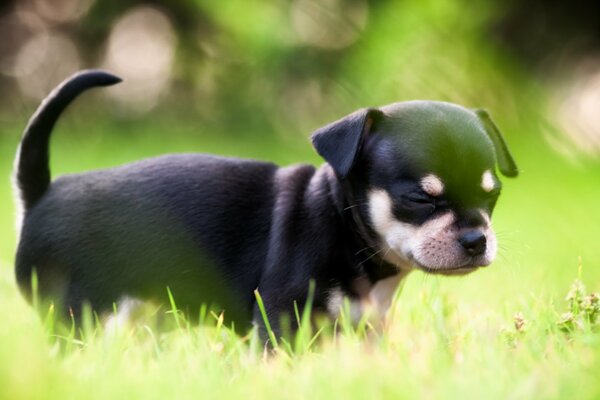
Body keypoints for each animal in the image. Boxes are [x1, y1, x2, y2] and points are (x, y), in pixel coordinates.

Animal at [11, 71, 516, 338]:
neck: (343, 224)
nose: (476, 239)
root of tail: (40, 196)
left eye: (492, 195)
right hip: (80, 315)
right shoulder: (280, 317)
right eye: (418, 198)